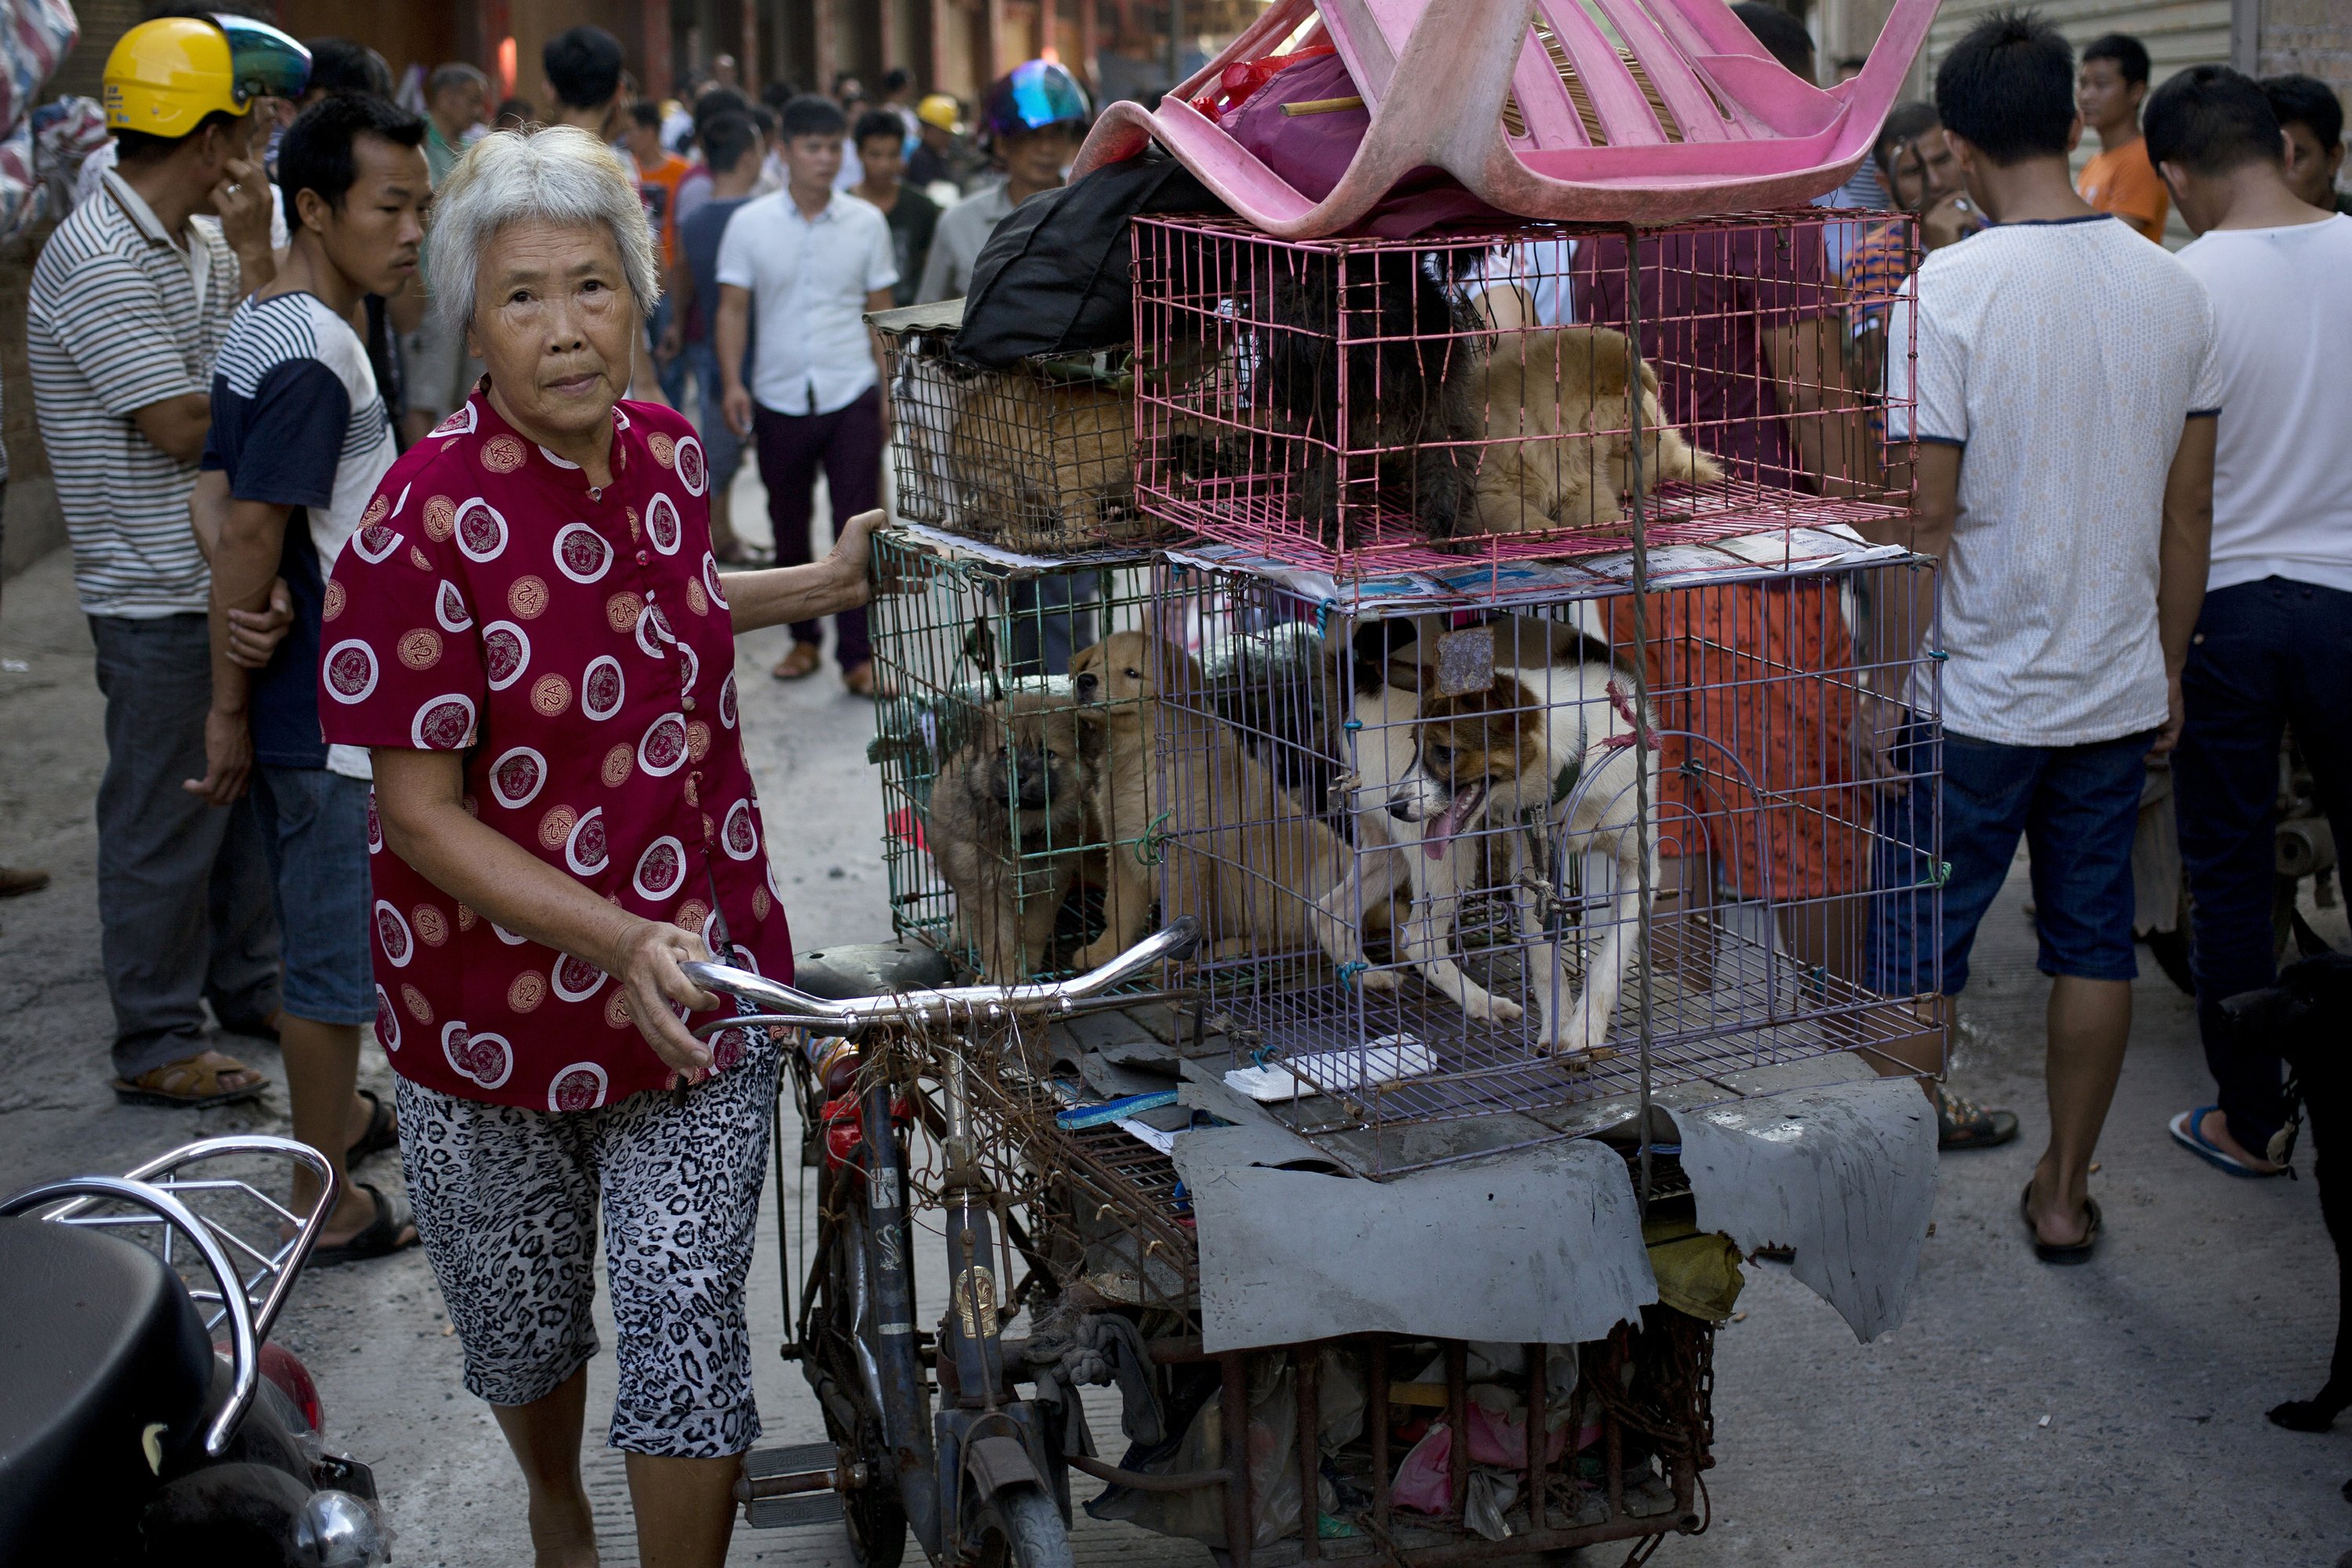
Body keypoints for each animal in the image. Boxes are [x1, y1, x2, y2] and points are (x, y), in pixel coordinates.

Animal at [917, 691, 1101, 982]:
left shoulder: (1049, 884)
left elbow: (1034, 930)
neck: (1022, 832)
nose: (1019, 777)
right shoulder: (986, 888)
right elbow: (999, 940)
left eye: (1047, 753)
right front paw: (1006, 978)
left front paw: (1028, 966)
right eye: (1004, 751)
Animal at [1374, 620, 1665, 1053]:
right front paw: (1557, 1026)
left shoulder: (1637, 865)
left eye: (1445, 752)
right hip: (1449, 856)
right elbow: (1545, 963)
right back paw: (1483, 1003)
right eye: (1414, 744)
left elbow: (1609, 959)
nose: (1395, 805)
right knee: (1421, 940)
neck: (1575, 765)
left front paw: (1584, 1031)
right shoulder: (1529, 871)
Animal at [1468, 324, 1731, 540]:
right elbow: (1511, 509)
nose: (1656, 437)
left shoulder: (1583, 483)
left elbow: (1596, 504)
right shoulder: (1485, 493)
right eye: (1636, 408)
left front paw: (1613, 521)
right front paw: (1536, 527)